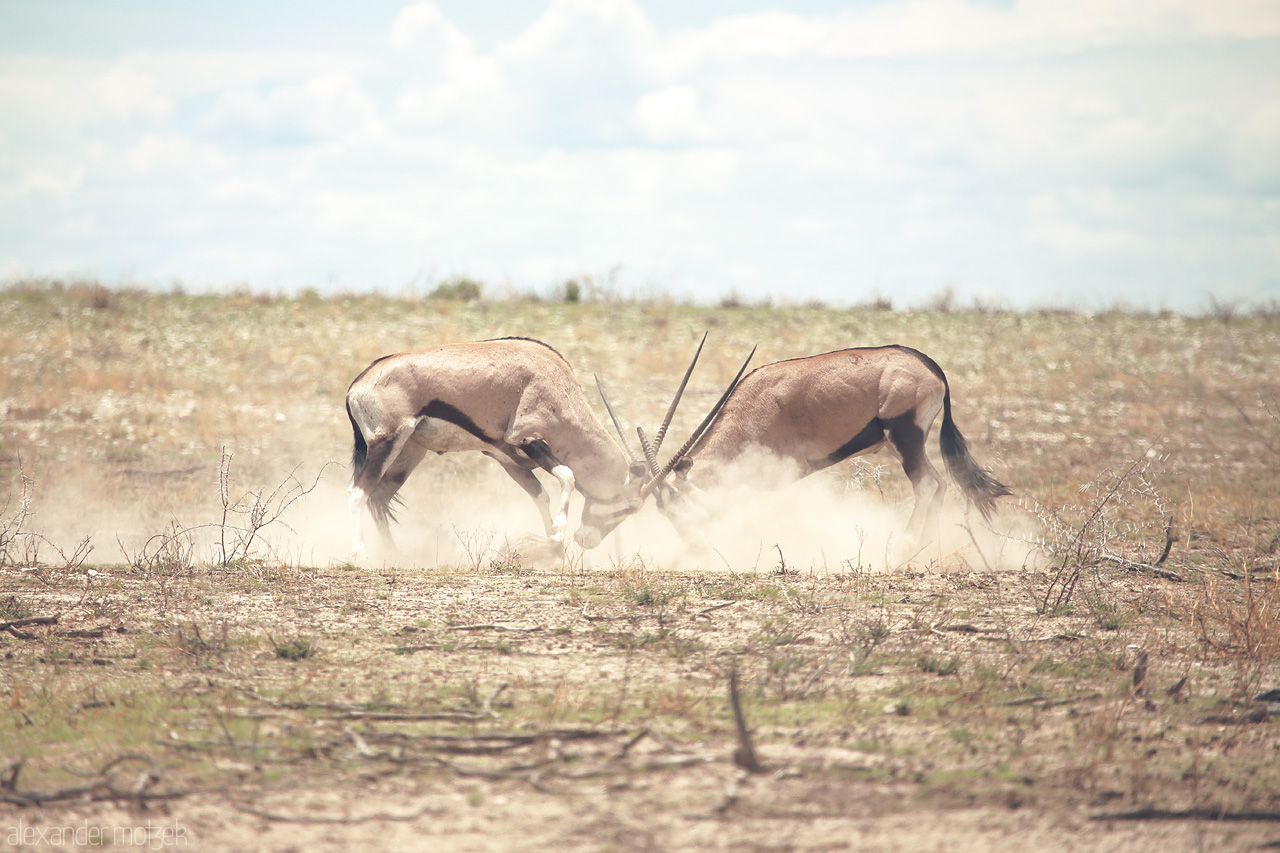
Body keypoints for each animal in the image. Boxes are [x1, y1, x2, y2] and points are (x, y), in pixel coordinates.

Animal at [345, 335, 696, 555]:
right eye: (630, 507)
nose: (587, 540)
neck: (558, 386)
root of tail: (357, 384)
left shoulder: (507, 457)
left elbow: (539, 494)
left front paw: (554, 546)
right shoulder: (527, 439)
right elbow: (568, 476)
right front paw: (558, 535)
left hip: (408, 453)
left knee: (378, 498)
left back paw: (394, 554)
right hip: (387, 442)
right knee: (357, 493)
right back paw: (360, 552)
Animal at [599, 343, 1008, 537]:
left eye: (678, 505)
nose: (691, 541)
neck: (750, 410)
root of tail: (930, 365)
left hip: (905, 438)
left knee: (929, 485)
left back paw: (908, 543)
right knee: (936, 485)